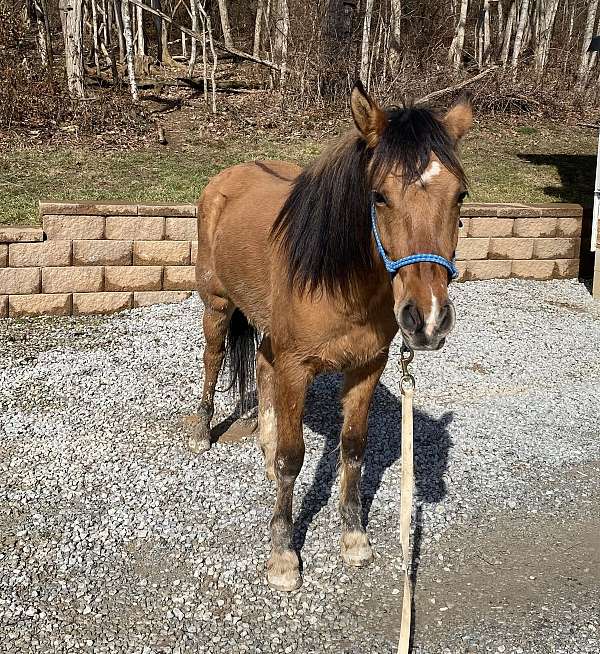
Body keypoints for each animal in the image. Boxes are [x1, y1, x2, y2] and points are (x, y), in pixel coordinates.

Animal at [190, 81, 472, 592]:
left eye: (459, 195)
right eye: (379, 196)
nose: (427, 319)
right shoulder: (297, 368)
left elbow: (353, 448)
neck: (337, 281)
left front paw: (354, 538)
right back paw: (202, 430)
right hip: (217, 306)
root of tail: (229, 176)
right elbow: (293, 456)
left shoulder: (366, 367)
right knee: (213, 357)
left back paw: (262, 446)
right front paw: (283, 556)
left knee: (262, 363)